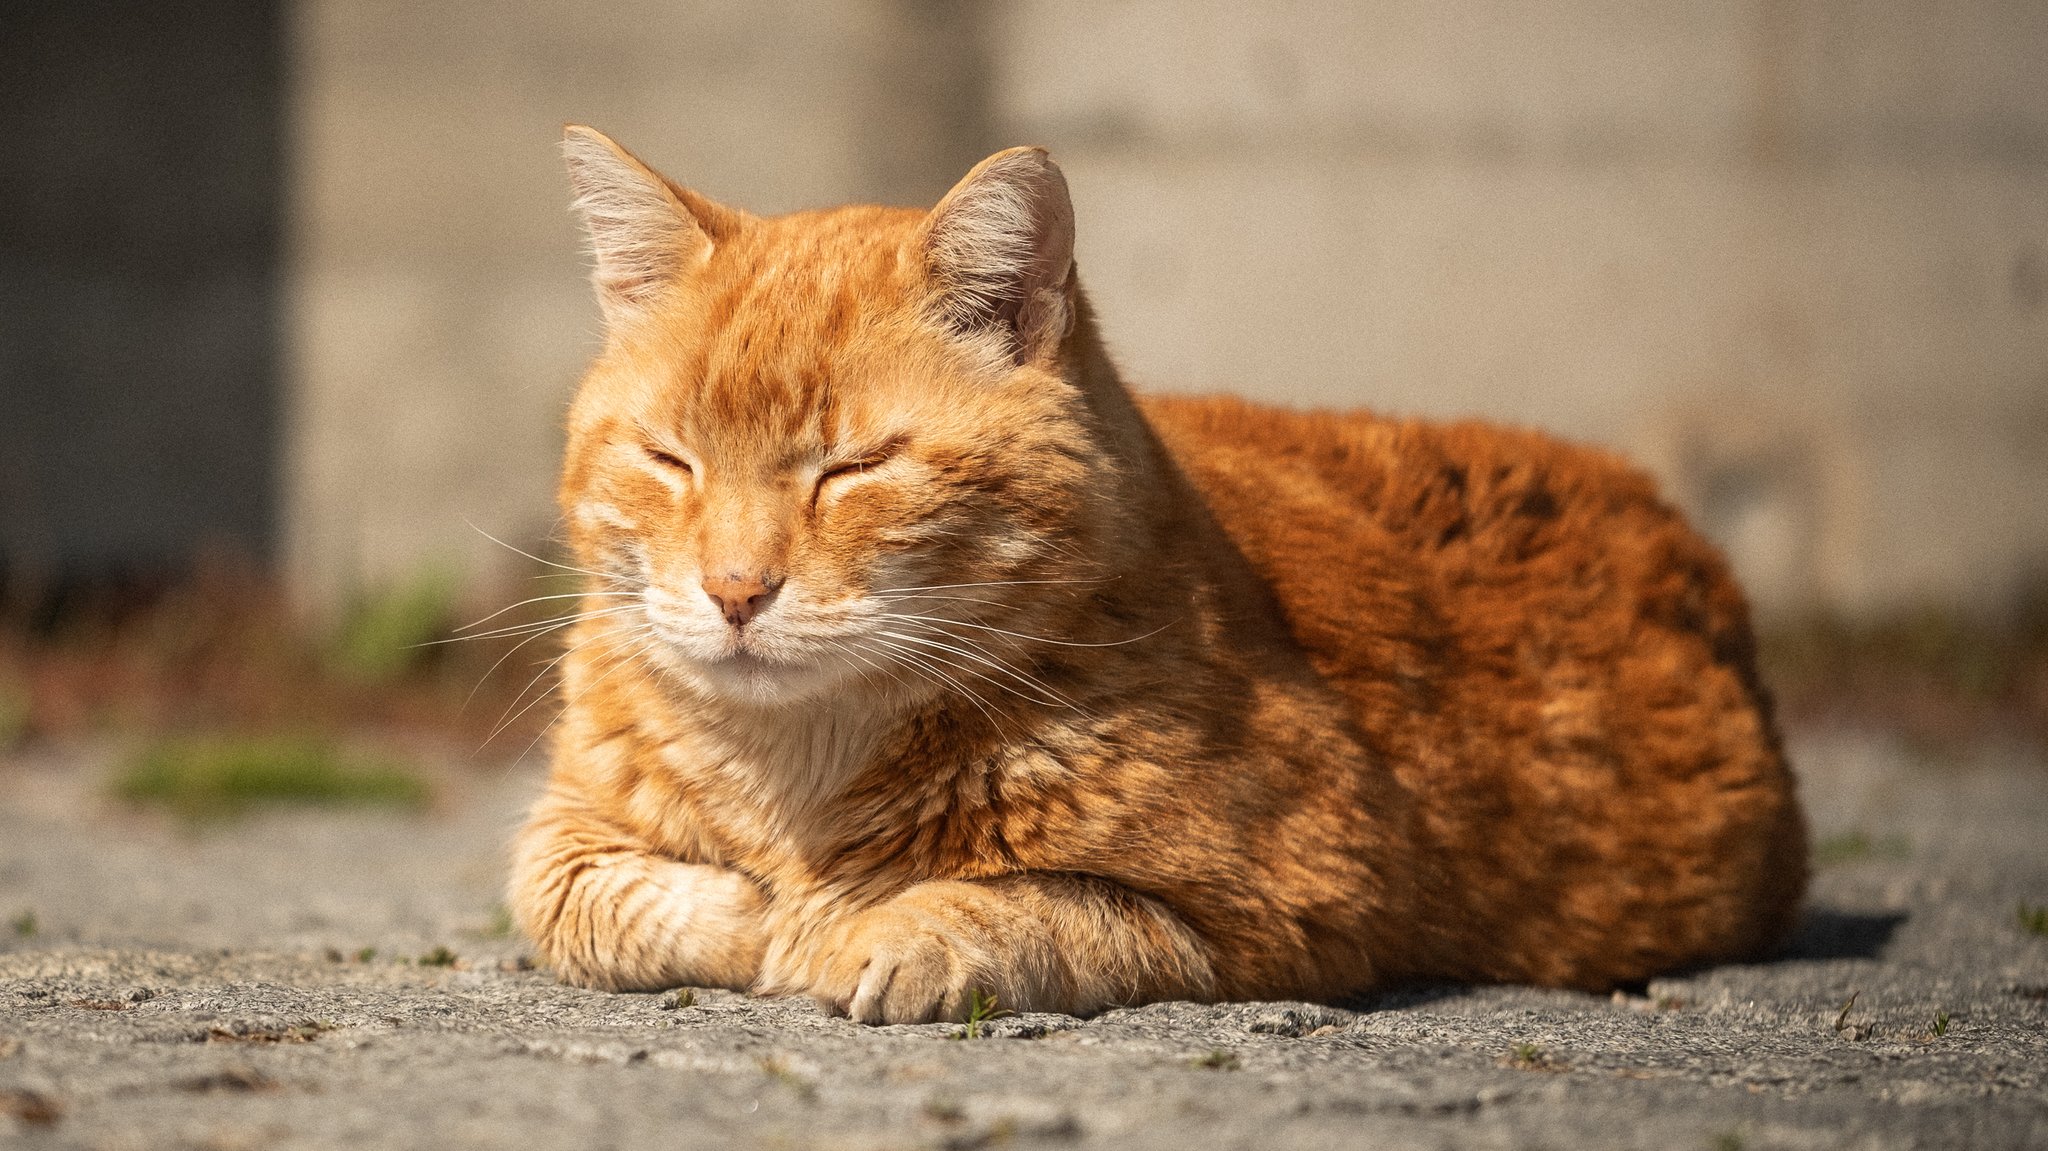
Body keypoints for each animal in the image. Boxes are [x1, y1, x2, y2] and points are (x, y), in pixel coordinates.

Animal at [512, 125, 1810, 1015]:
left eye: (854, 466)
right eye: (669, 458)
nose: (734, 590)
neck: (794, 773)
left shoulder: (1293, 912)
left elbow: (1026, 904)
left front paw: (855, 925)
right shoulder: (566, 824)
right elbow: (575, 888)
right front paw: (766, 914)